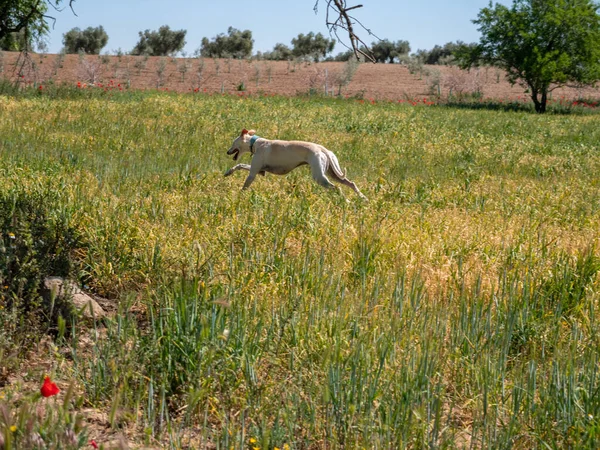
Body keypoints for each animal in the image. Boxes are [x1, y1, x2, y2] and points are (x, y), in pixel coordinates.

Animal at [224, 130, 366, 200]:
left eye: (233, 143)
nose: (227, 152)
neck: (256, 142)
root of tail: (322, 149)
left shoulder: (253, 173)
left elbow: (245, 185)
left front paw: (239, 196)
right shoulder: (260, 171)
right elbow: (240, 165)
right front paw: (228, 172)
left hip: (320, 177)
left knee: (338, 188)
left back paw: (346, 201)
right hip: (332, 172)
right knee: (351, 183)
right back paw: (363, 198)